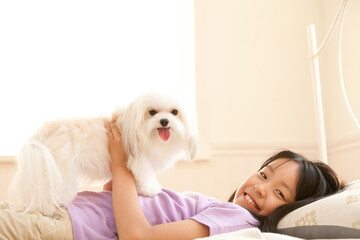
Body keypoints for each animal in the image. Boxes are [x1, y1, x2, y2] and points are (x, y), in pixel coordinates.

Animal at [7, 93, 197, 215]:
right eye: (152, 112)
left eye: (175, 112)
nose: (164, 121)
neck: (140, 128)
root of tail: (42, 132)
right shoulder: (141, 160)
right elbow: (146, 176)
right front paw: (150, 191)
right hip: (59, 169)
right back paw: (47, 208)